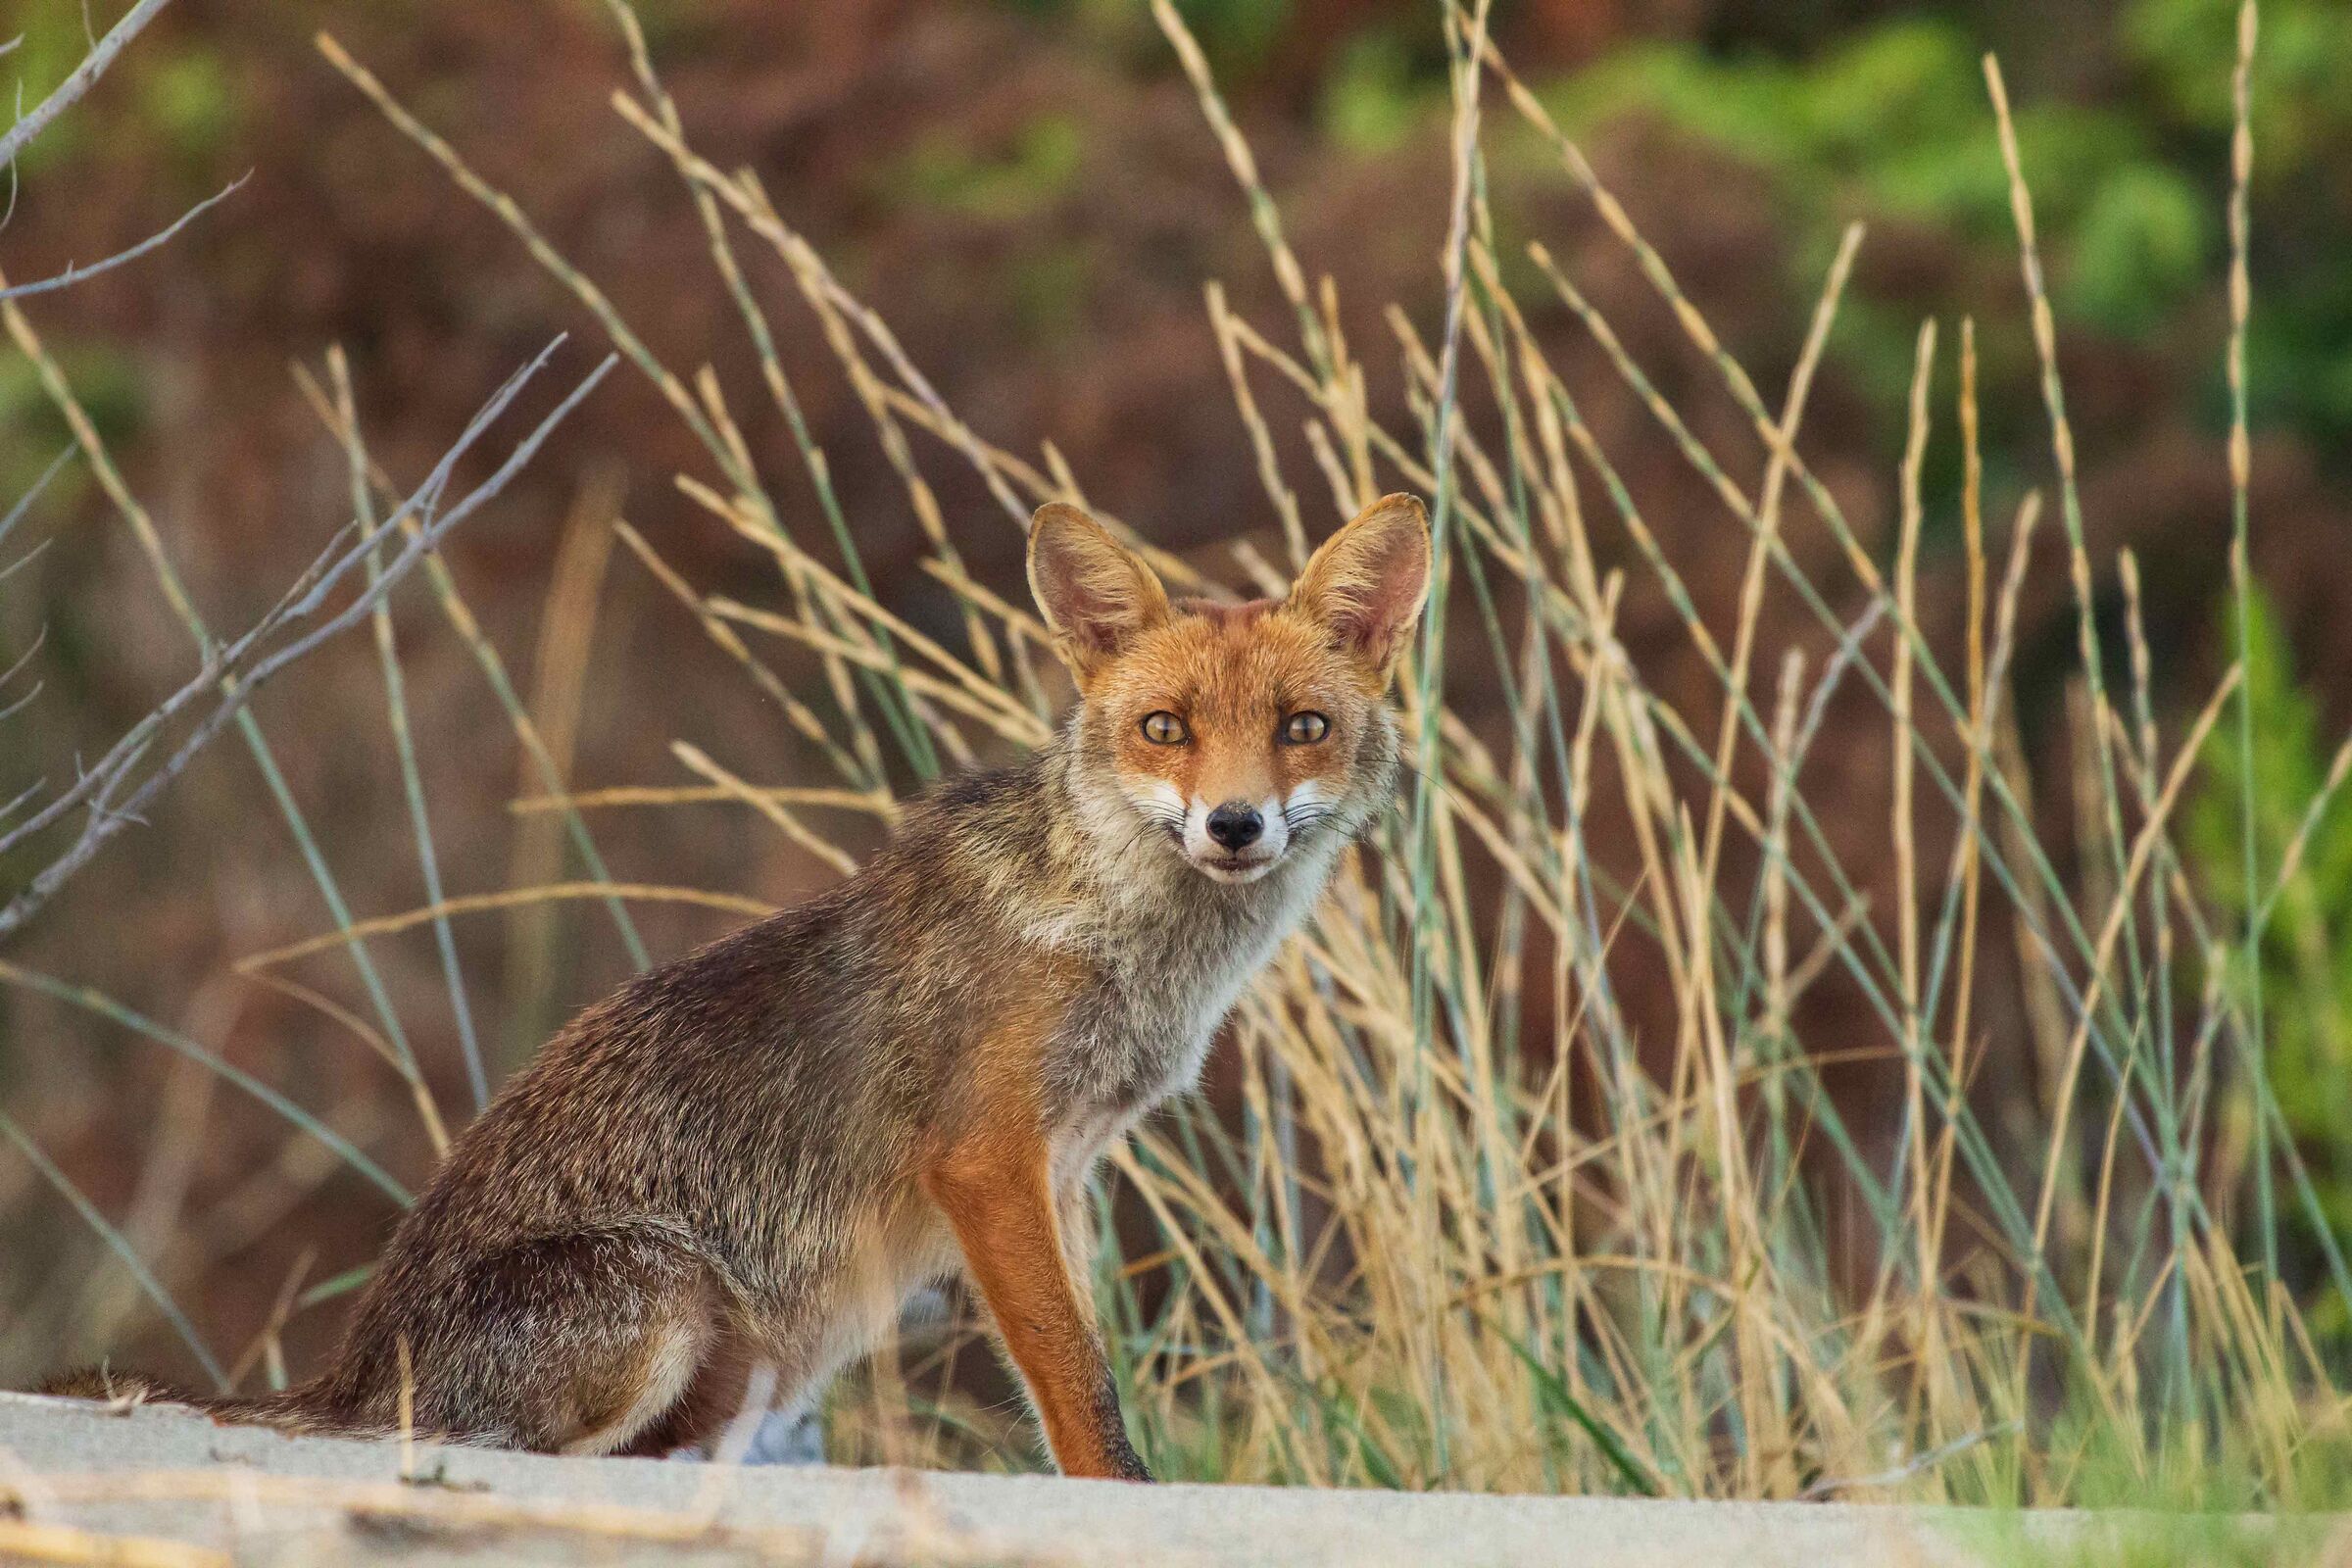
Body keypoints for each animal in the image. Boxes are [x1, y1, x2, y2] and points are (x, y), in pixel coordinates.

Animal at [39, 492, 1431, 1481]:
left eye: (1302, 727)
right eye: (1165, 730)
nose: (1236, 825)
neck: (1117, 942)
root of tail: (351, 1360)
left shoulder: (1067, 1169)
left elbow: (1082, 1376)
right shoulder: (988, 1159)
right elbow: (1081, 1395)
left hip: (736, 1370)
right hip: (666, 1300)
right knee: (478, 1452)